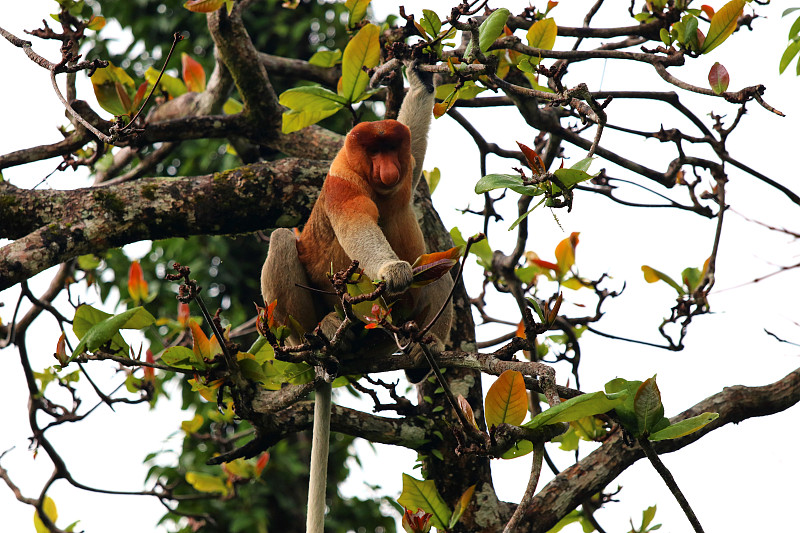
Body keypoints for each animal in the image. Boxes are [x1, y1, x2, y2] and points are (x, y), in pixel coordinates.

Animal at [260, 61, 450, 532]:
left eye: (390, 146)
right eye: (373, 150)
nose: (387, 167)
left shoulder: (407, 170)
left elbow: (417, 151)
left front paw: (420, 80)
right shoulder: (343, 187)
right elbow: (357, 227)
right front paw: (392, 271)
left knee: (439, 261)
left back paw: (425, 349)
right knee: (281, 237)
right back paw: (321, 338)